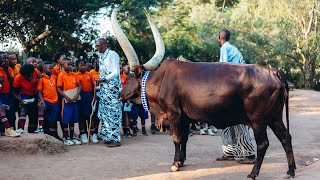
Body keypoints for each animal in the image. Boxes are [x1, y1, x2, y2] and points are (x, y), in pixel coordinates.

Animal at [111, 9, 296, 179]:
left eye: (129, 77)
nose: (120, 94)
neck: (161, 79)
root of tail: (274, 72)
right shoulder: (185, 118)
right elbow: (184, 138)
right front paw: (181, 161)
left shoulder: (174, 114)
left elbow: (177, 138)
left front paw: (175, 164)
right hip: (274, 116)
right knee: (286, 137)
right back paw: (290, 170)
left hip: (258, 120)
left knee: (263, 144)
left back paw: (253, 173)